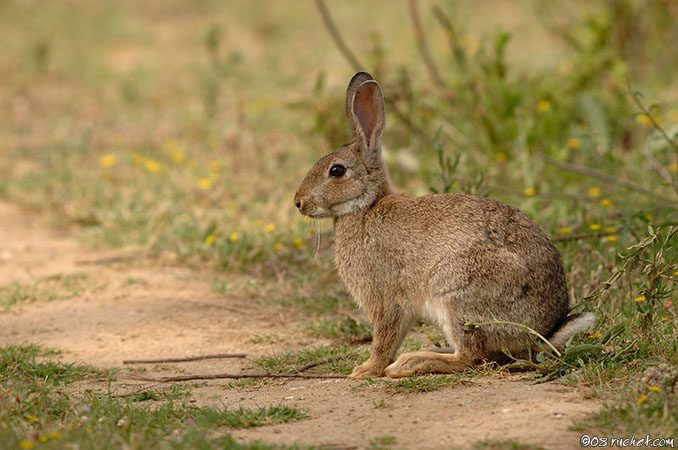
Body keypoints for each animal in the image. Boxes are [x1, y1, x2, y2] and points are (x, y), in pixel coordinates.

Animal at [294, 71, 596, 380]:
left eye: (337, 171)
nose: (299, 202)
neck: (365, 206)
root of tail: (541, 333)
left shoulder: (385, 298)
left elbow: (384, 338)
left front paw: (366, 369)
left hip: (455, 291)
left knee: (470, 357)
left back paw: (411, 362)